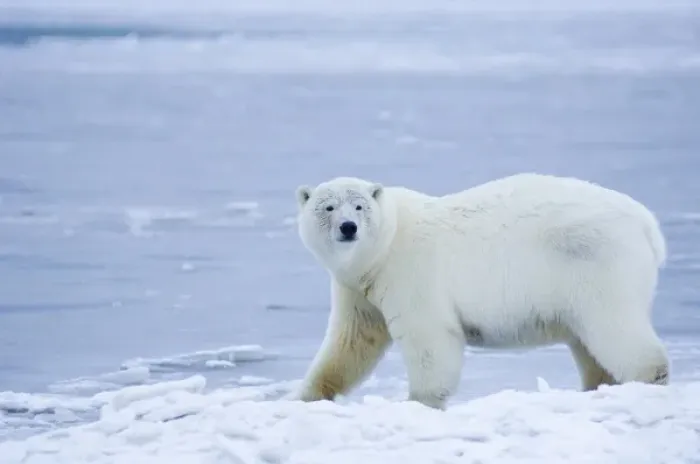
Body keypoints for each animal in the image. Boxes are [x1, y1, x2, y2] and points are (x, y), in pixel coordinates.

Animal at [293, 173, 669, 410]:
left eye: (359, 206)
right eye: (328, 207)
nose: (348, 227)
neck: (384, 248)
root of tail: (647, 223)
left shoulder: (411, 274)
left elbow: (429, 337)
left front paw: (418, 402)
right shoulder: (358, 287)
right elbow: (352, 341)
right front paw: (307, 395)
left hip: (599, 267)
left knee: (615, 329)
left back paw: (649, 379)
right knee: (590, 344)